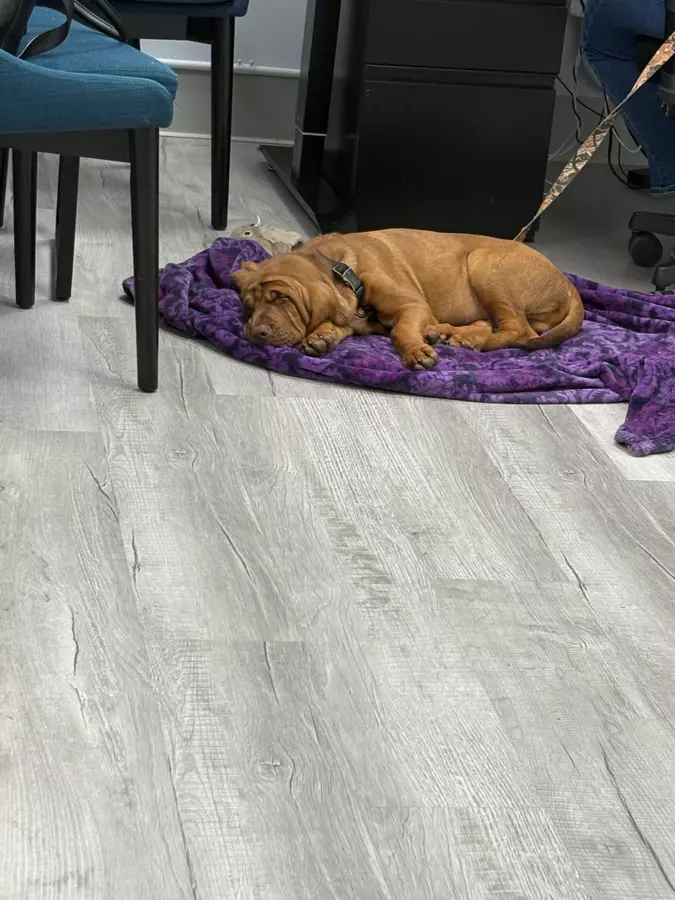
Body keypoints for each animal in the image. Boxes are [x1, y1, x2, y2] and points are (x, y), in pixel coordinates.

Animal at [232, 229, 584, 370]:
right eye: (249, 306)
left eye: (283, 299)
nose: (255, 333)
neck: (344, 269)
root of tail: (569, 285)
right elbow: (339, 324)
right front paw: (321, 336)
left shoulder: (412, 306)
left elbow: (401, 331)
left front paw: (415, 352)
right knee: (494, 323)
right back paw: (452, 334)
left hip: (484, 263)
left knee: (518, 331)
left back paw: (466, 340)